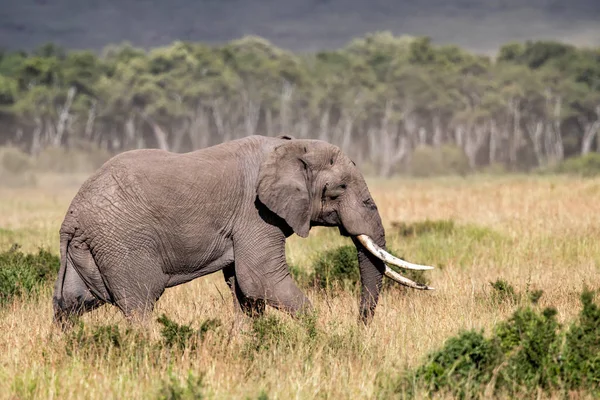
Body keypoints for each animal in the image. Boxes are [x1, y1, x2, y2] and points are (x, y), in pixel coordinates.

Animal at [51, 134, 434, 328]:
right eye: (338, 189)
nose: (360, 327)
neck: (290, 145)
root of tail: (72, 215)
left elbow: (244, 289)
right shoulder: (255, 213)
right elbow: (259, 279)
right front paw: (322, 336)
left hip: (90, 250)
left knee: (71, 304)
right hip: (122, 241)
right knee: (140, 305)